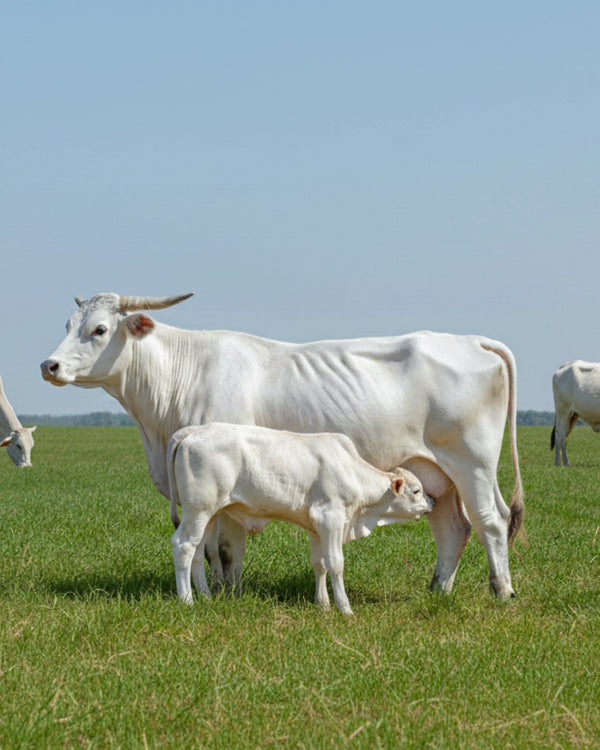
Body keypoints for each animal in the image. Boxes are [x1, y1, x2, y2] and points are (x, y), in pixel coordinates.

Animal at [167, 423, 434, 612]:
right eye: (416, 491)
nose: (432, 502)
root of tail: (194, 430)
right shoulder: (331, 518)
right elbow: (335, 563)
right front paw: (344, 608)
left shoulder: (316, 526)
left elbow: (319, 564)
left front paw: (323, 604)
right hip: (198, 509)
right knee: (183, 545)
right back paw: (187, 600)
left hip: (208, 514)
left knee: (197, 550)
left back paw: (205, 596)